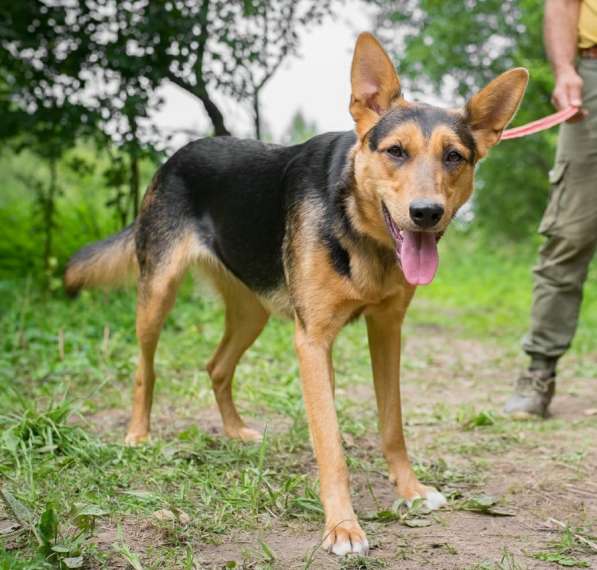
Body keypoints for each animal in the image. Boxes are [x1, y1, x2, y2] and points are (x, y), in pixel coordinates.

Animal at [64, 32, 528, 556]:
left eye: (454, 157)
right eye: (395, 151)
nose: (426, 213)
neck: (357, 224)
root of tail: (177, 155)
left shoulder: (387, 331)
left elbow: (392, 425)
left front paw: (409, 490)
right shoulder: (313, 342)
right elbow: (331, 444)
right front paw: (343, 526)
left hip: (253, 313)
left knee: (217, 367)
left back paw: (235, 432)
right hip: (157, 295)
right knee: (146, 368)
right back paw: (138, 435)